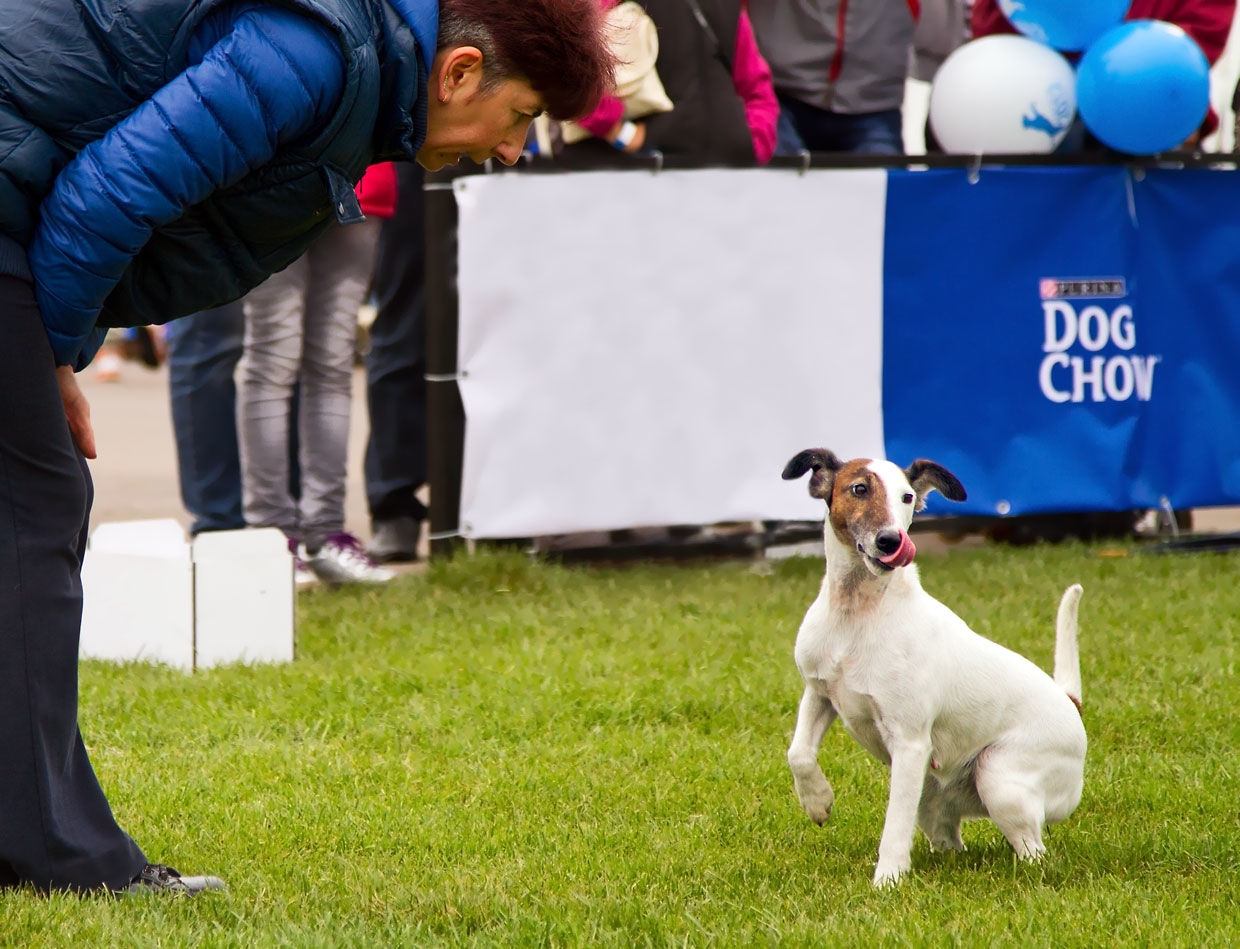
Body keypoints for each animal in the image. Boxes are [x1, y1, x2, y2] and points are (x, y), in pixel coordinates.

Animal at [783, 449, 1086, 883]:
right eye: (859, 489)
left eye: (908, 497)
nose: (892, 540)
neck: (859, 613)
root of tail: (1069, 701)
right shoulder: (820, 692)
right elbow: (799, 754)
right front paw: (817, 801)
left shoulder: (909, 743)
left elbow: (894, 824)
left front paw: (887, 880)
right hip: (933, 790)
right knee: (947, 835)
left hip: (999, 778)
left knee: (1034, 851)